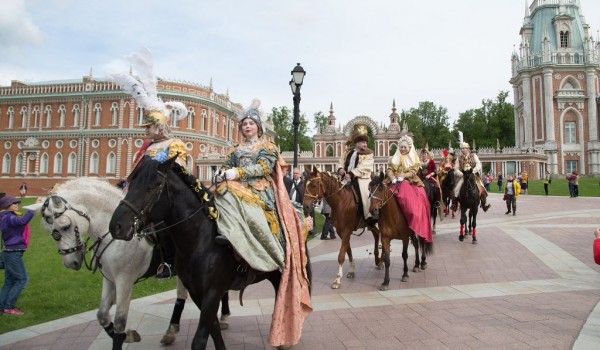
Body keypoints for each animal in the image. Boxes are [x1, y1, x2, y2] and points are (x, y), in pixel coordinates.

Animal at [39, 179, 188, 348]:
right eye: (50, 231)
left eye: (65, 226)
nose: (71, 262)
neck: (113, 236)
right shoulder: (109, 279)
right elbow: (102, 315)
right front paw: (128, 336)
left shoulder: (125, 280)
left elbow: (119, 322)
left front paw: (124, 336)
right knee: (181, 293)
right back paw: (171, 331)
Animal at [109, 157, 304, 350]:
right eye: (130, 184)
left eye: (153, 186)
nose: (116, 226)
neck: (200, 239)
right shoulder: (196, 292)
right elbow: (213, 329)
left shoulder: (212, 291)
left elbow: (200, 340)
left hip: (283, 274)